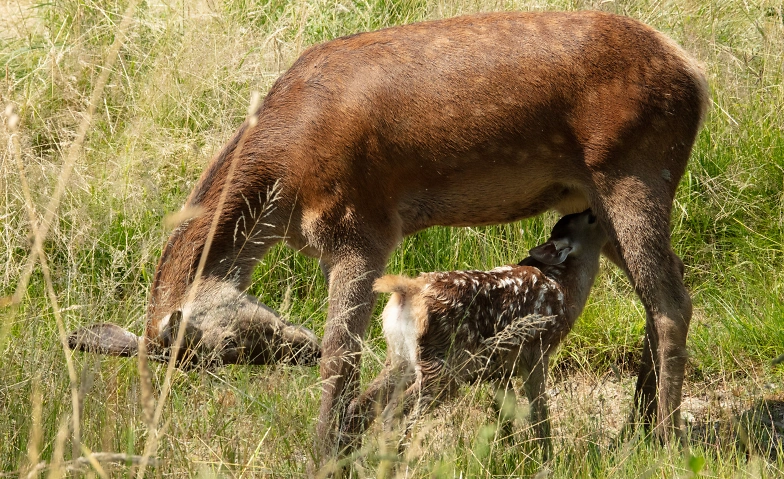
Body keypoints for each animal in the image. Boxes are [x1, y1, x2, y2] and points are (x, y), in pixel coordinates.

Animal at [342, 210, 608, 458]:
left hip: (400, 357)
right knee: (394, 411)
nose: (593, 211)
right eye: (591, 219)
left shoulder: (498, 369)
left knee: (360, 406)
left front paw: (506, 452)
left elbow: (505, 415)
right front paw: (546, 456)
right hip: (441, 364)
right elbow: (539, 411)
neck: (564, 290)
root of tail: (408, 291)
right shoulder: (536, 350)